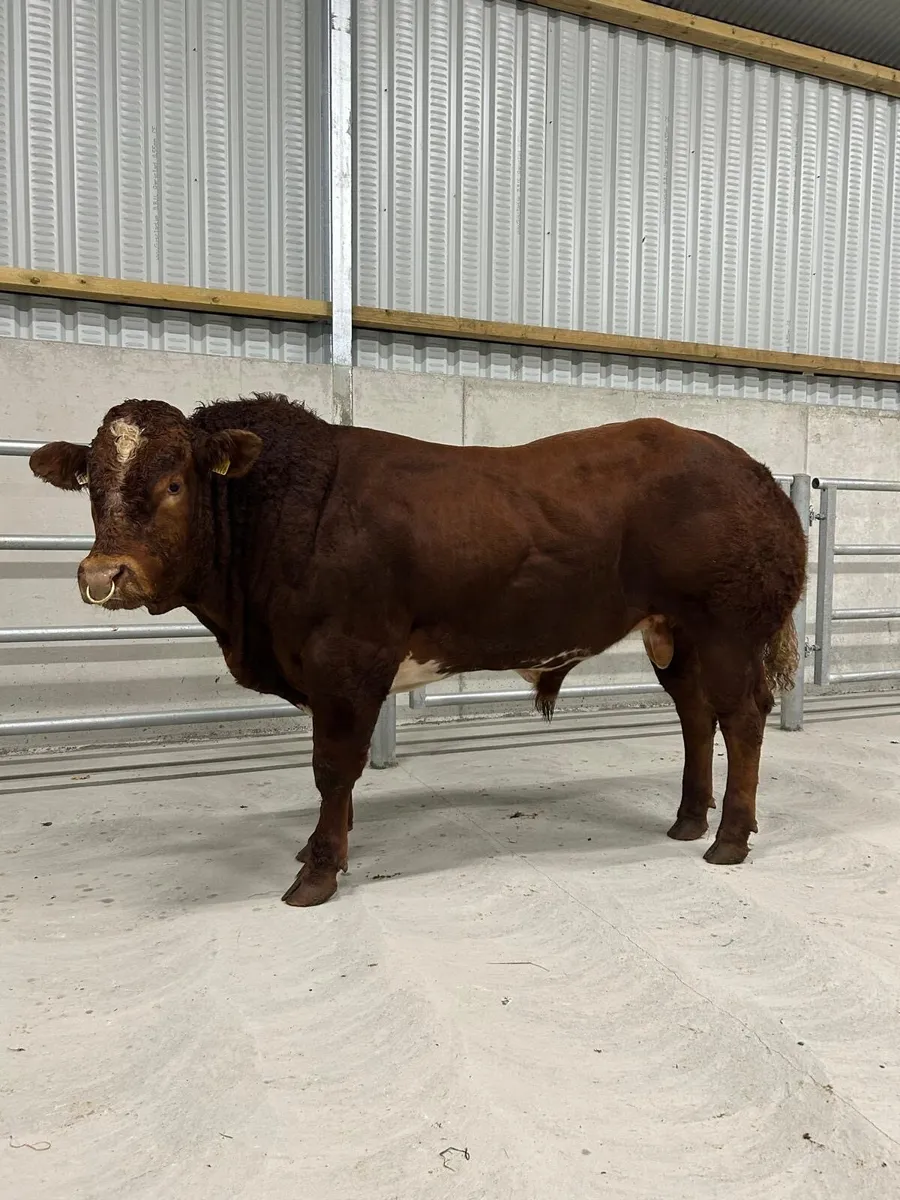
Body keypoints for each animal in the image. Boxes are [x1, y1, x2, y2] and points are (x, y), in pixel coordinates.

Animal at [30, 394, 806, 907]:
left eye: (173, 482)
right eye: (92, 487)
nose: (104, 576)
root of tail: (753, 471)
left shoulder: (347, 663)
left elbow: (332, 768)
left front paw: (318, 870)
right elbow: (336, 776)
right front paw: (322, 846)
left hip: (728, 629)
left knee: (742, 719)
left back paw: (728, 837)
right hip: (672, 635)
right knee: (696, 718)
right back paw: (687, 818)